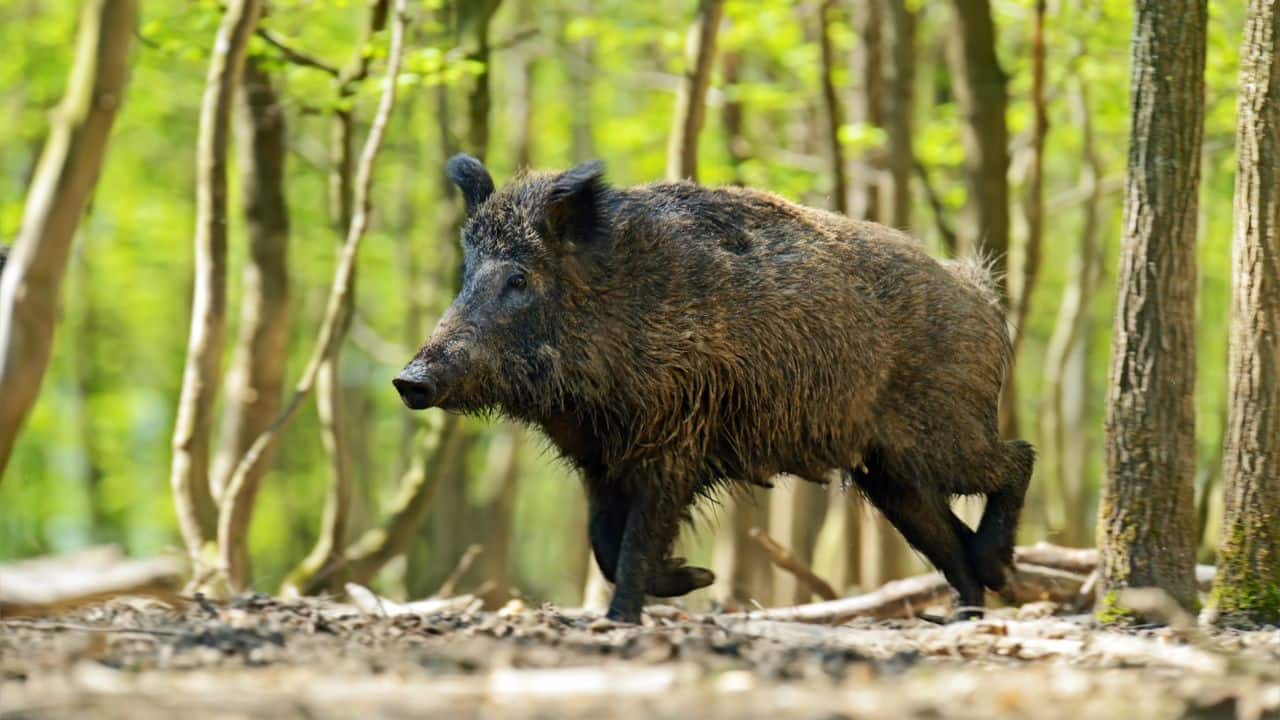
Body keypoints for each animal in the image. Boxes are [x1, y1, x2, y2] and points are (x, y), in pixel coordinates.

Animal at [395, 155, 1034, 623]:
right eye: (465, 275)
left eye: (519, 278)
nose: (409, 380)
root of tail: (981, 292)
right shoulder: (600, 460)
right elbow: (603, 542)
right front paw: (691, 579)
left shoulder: (674, 444)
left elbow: (634, 541)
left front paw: (626, 618)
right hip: (890, 472)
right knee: (944, 534)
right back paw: (967, 609)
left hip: (943, 433)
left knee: (1016, 459)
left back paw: (995, 574)